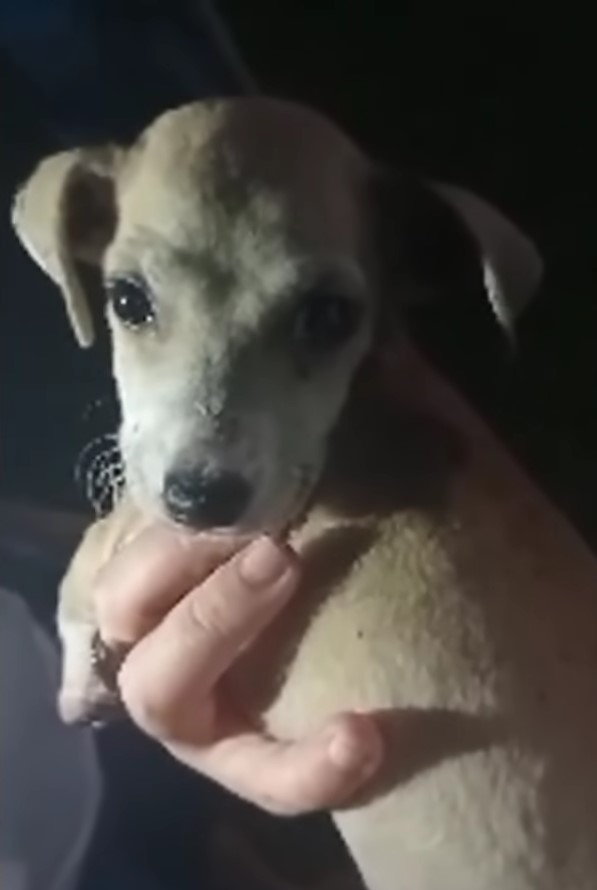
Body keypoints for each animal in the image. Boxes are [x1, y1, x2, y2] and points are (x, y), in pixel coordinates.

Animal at [11, 97, 596, 888]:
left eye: (328, 316)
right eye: (126, 300)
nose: (200, 499)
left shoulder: (139, 521)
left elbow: (82, 558)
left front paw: (81, 682)